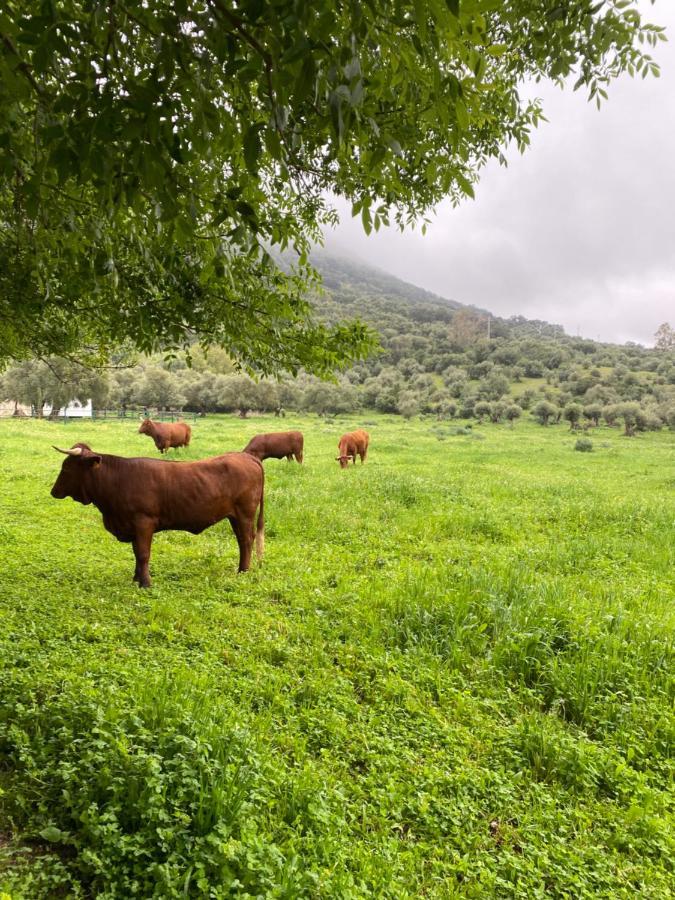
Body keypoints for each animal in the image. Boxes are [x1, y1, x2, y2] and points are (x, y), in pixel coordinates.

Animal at [50, 444, 266, 592]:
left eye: (66, 468)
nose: (53, 491)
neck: (118, 479)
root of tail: (246, 456)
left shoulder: (143, 522)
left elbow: (143, 554)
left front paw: (145, 583)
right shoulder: (133, 527)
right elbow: (136, 553)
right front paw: (136, 579)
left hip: (245, 513)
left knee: (246, 540)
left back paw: (243, 571)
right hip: (235, 516)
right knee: (243, 541)